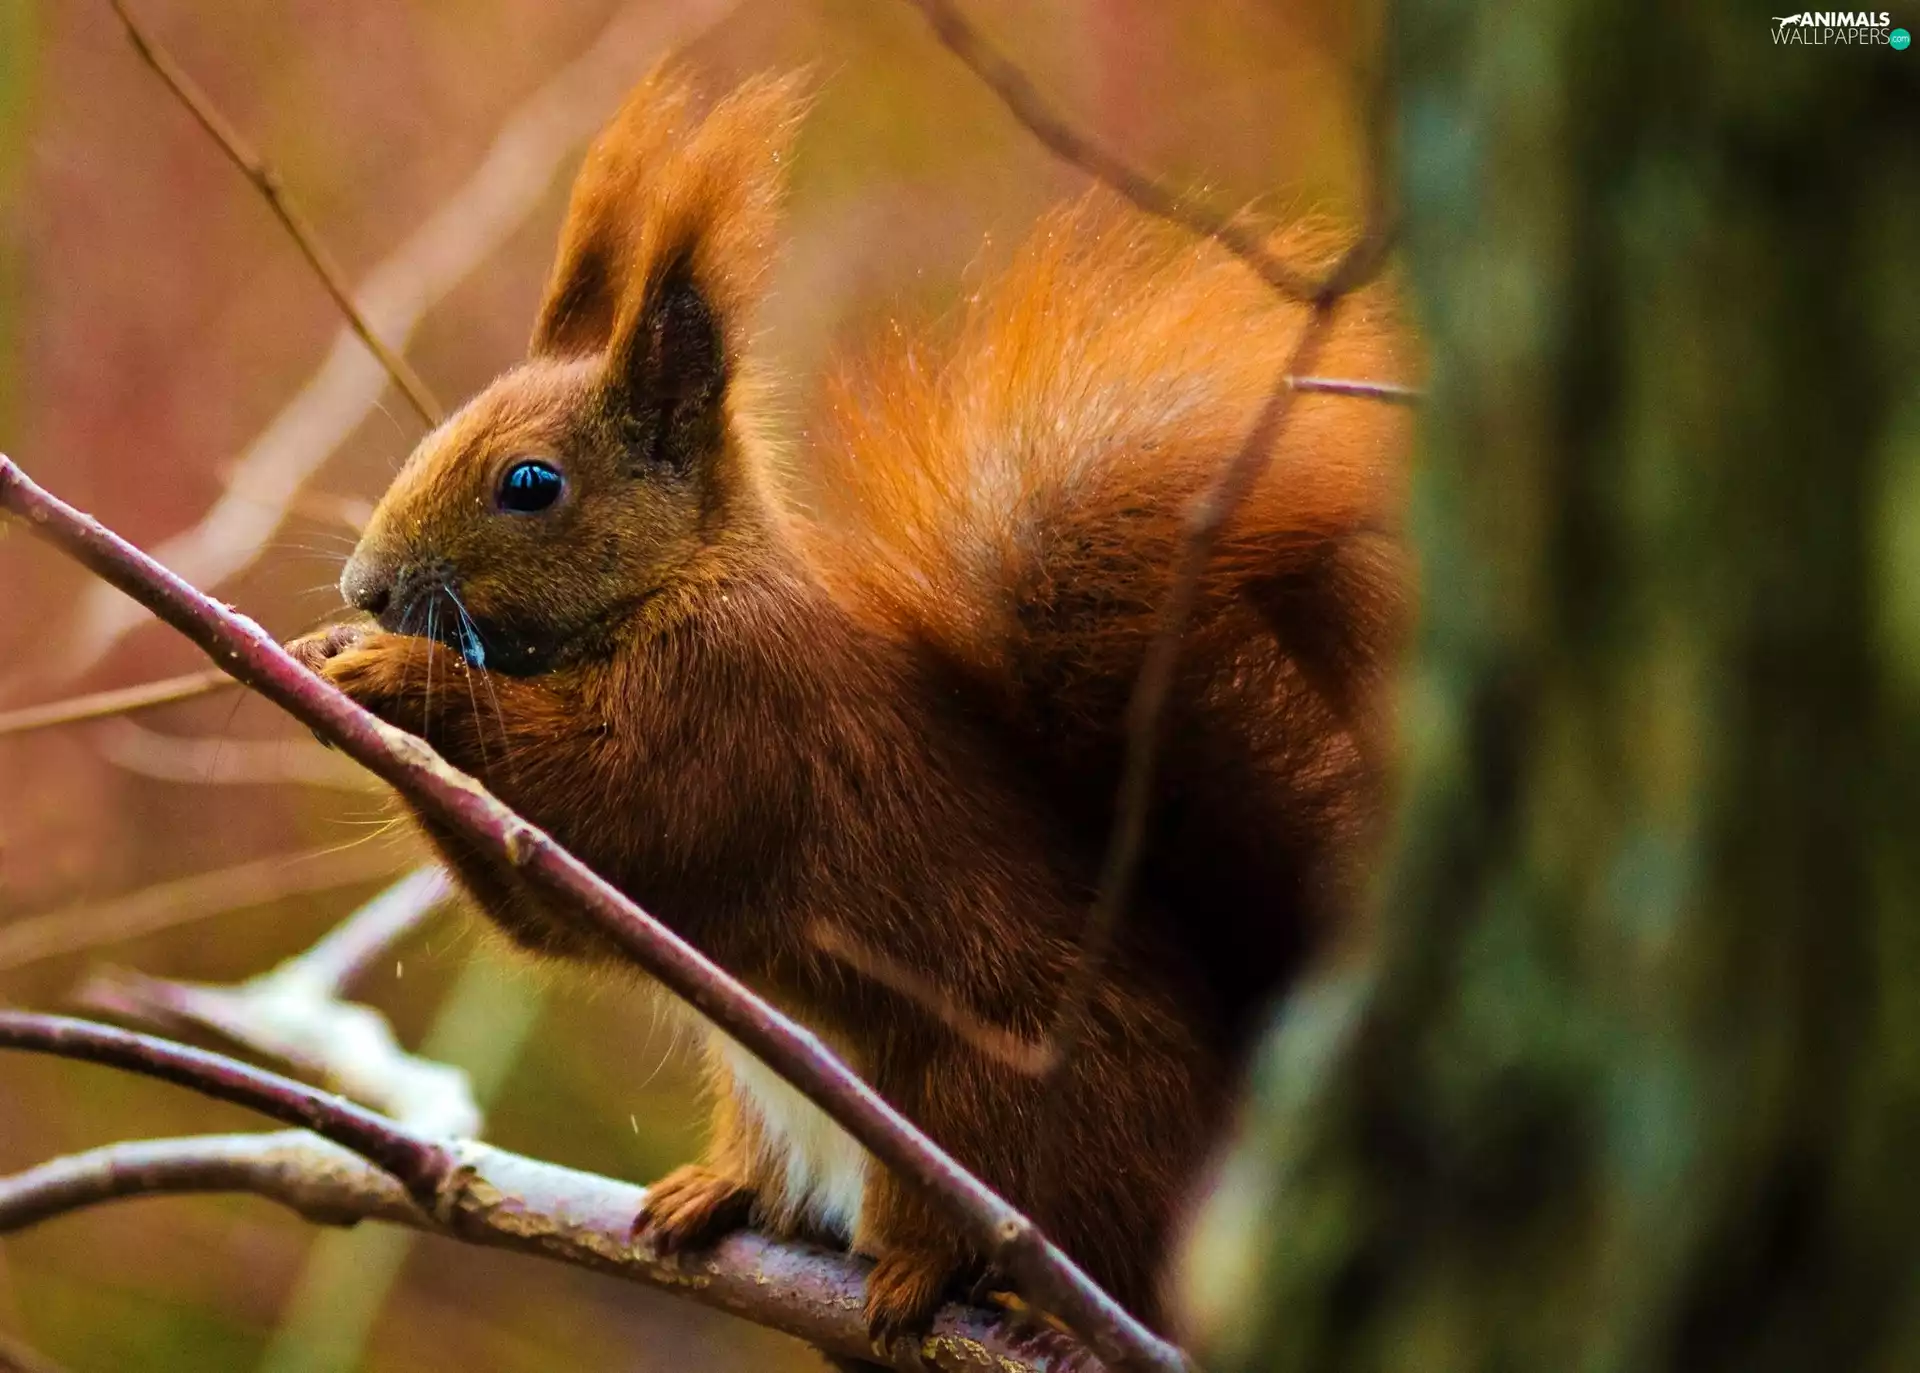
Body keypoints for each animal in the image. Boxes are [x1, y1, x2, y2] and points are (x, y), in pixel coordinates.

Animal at [289, 69, 1411, 1345]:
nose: (366, 588)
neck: (686, 580)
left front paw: (389, 673)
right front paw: (327, 656)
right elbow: (554, 913)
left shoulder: (740, 706)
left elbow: (615, 808)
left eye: (531, 483)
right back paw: (718, 1194)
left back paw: (963, 1281)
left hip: (1001, 1108)